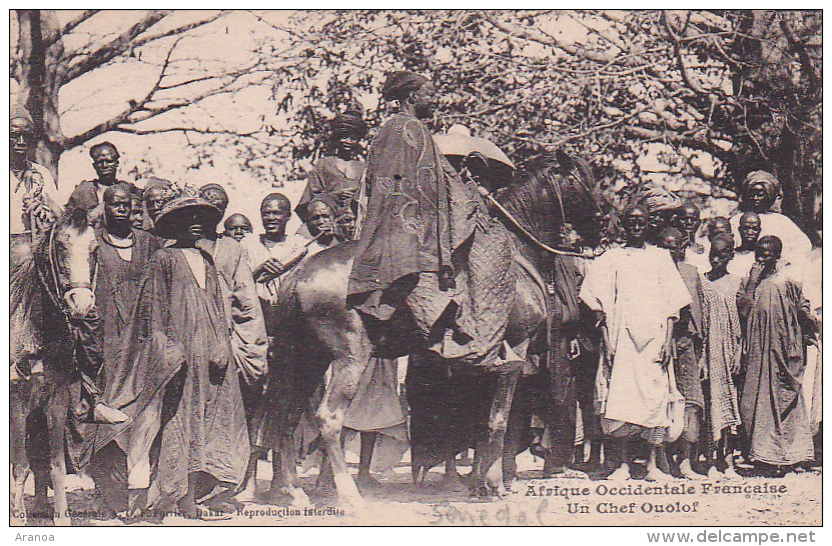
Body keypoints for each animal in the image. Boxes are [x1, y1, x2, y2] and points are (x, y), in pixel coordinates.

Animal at [9, 208, 99, 524]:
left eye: (95, 249)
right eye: (60, 246)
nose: (81, 303)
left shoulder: (56, 399)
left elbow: (55, 464)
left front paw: (62, 517)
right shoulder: (16, 402)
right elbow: (19, 465)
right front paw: (17, 517)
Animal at [260, 150, 604, 506]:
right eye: (582, 178)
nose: (604, 221)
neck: (516, 253)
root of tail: (300, 271)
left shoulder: (483, 363)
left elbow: (481, 421)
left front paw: (478, 484)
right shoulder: (515, 351)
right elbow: (499, 420)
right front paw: (494, 486)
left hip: (308, 358)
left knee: (287, 416)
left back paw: (295, 490)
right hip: (349, 357)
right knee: (328, 418)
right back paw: (349, 495)